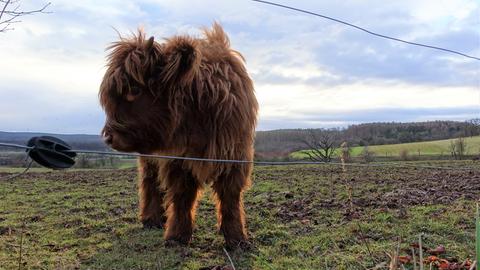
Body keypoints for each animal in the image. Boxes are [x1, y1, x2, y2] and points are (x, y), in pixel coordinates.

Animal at [99, 23, 258, 249]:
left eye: (135, 89)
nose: (108, 137)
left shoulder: (234, 156)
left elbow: (230, 197)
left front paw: (236, 239)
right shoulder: (177, 160)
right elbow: (182, 195)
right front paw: (177, 236)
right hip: (148, 157)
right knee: (150, 182)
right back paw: (152, 218)